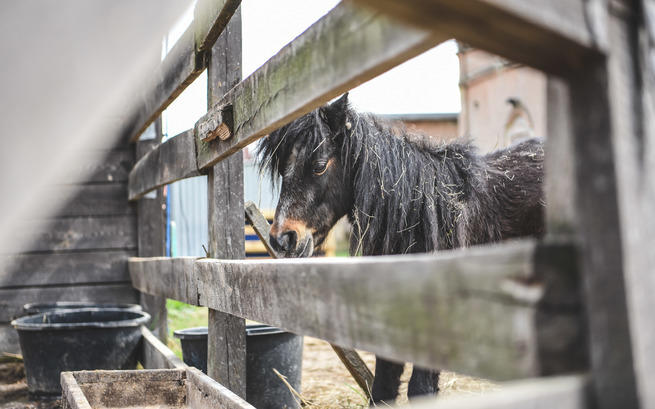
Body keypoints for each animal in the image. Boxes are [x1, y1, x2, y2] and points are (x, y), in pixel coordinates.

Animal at [258, 94, 544, 404]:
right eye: (283, 169)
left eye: (319, 165)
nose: (282, 239)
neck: (422, 216)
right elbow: (383, 387)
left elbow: (420, 389)